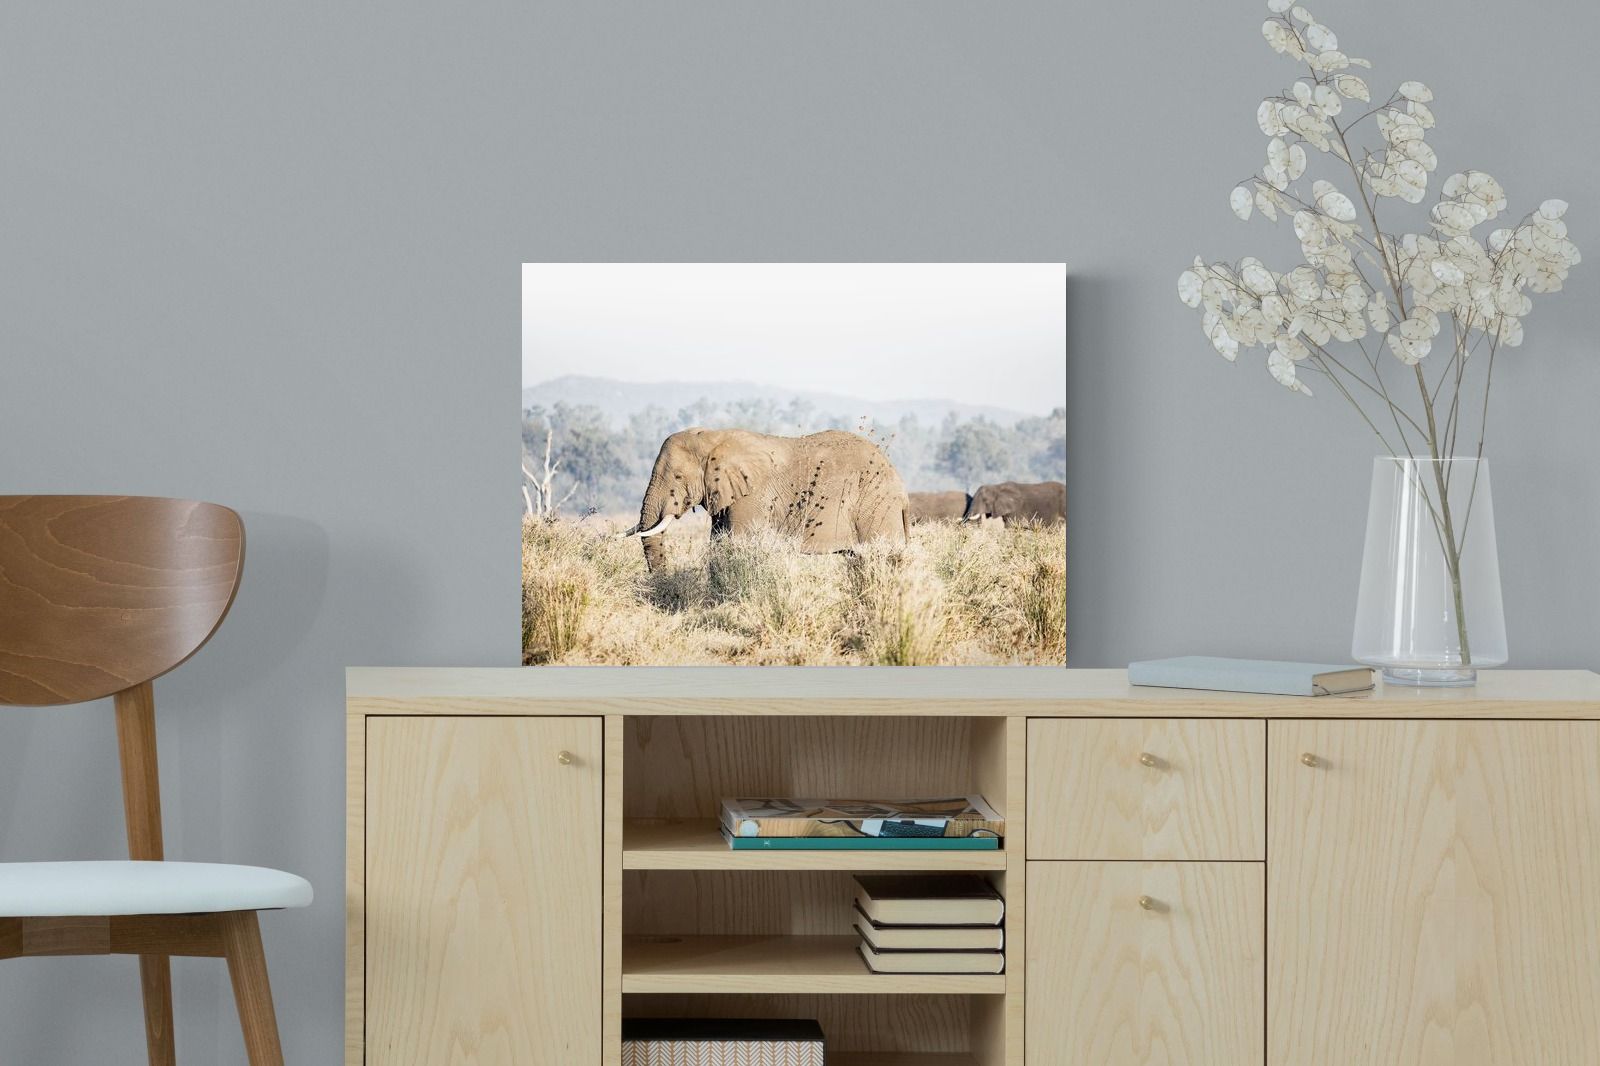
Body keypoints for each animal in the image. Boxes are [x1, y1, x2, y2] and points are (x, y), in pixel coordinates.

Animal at [623, 427, 910, 571]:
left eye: (678, 476)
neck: (713, 436)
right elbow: (719, 544)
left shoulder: (753, 495)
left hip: (876, 504)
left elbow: (737, 544)